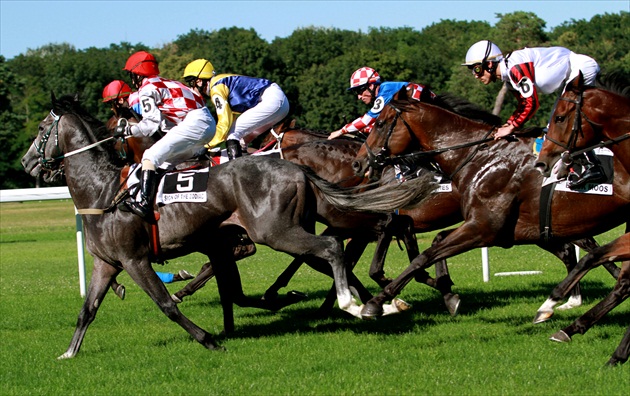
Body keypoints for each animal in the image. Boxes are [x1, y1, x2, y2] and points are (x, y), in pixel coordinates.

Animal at [22, 94, 436, 358]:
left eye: (42, 128)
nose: (27, 163)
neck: (104, 193)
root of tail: (296, 167)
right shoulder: (107, 263)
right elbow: (87, 309)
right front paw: (69, 353)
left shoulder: (135, 259)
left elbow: (167, 303)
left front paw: (209, 339)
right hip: (308, 220)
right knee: (358, 237)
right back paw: (378, 300)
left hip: (276, 232)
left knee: (339, 246)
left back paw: (353, 302)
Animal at [354, 89, 628, 322]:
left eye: (380, 123)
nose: (359, 162)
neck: (479, 156)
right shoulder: (501, 229)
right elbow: (431, 248)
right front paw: (446, 292)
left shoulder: (483, 227)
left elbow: (422, 257)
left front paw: (377, 302)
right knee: (578, 251)